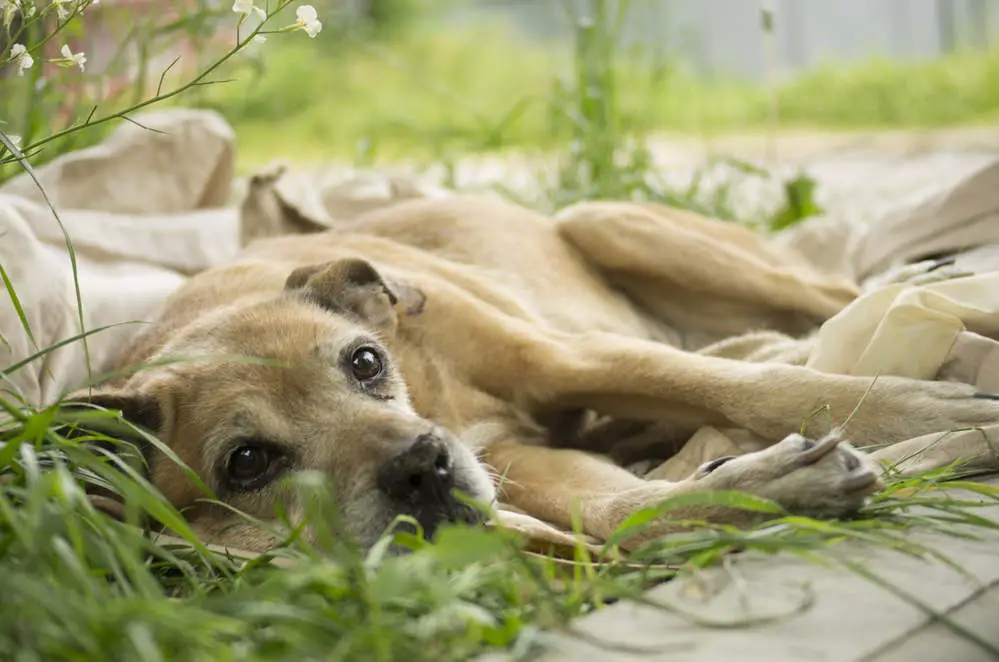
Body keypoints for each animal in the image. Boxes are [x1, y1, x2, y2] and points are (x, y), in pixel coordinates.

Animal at [74, 197, 999, 556]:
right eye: (246, 464)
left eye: (364, 363)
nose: (421, 467)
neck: (435, 392)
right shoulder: (522, 467)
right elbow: (625, 512)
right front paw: (771, 485)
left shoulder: (569, 359)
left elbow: (744, 390)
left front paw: (918, 409)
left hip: (608, 223)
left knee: (842, 297)